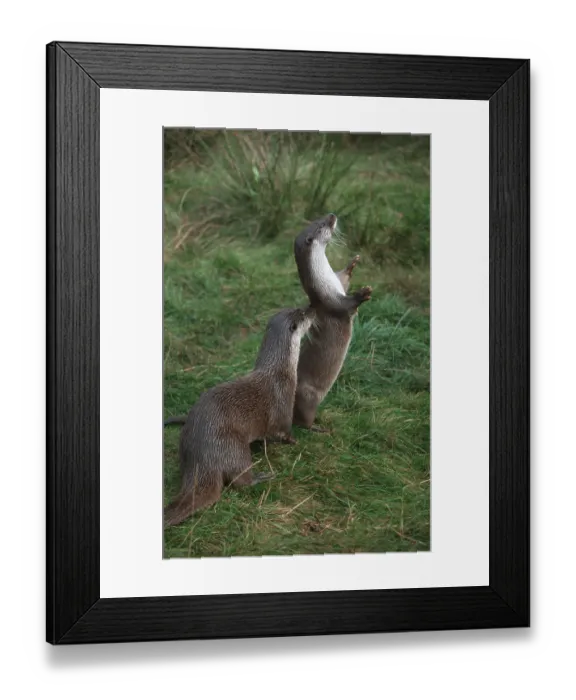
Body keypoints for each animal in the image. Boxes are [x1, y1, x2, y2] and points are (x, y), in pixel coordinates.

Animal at [164, 307, 313, 526]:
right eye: (303, 313)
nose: (313, 311)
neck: (280, 373)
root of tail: (200, 459)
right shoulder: (283, 404)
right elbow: (282, 432)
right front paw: (295, 441)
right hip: (234, 447)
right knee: (240, 479)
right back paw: (260, 477)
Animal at [293, 214, 372, 431]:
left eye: (317, 218)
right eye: (322, 225)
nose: (332, 215)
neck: (327, 281)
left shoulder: (339, 284)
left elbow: (344, 278)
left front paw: (352, 265)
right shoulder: (333, 301)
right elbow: (347, 306)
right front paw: (362, 293)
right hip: (307, 395)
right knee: (303, 421)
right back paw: (318, 428)